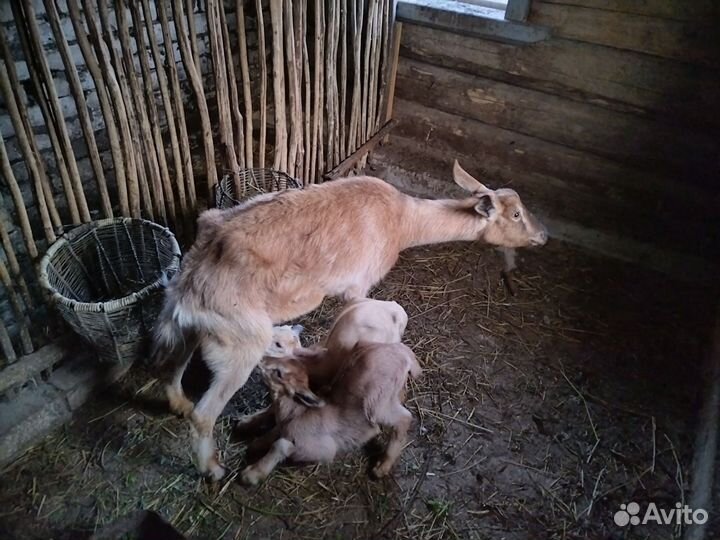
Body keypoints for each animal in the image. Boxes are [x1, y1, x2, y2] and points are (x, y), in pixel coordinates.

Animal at [239, 341, 422, 485]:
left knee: (404, 418)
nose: (260, 361)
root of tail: (403, 352)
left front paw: (252, 474)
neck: (296, 413)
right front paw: (253, 438)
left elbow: (281, 445)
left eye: (279, 373)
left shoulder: (320, 449)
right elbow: (272, 433)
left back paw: (382, 466)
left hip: (377, 403)